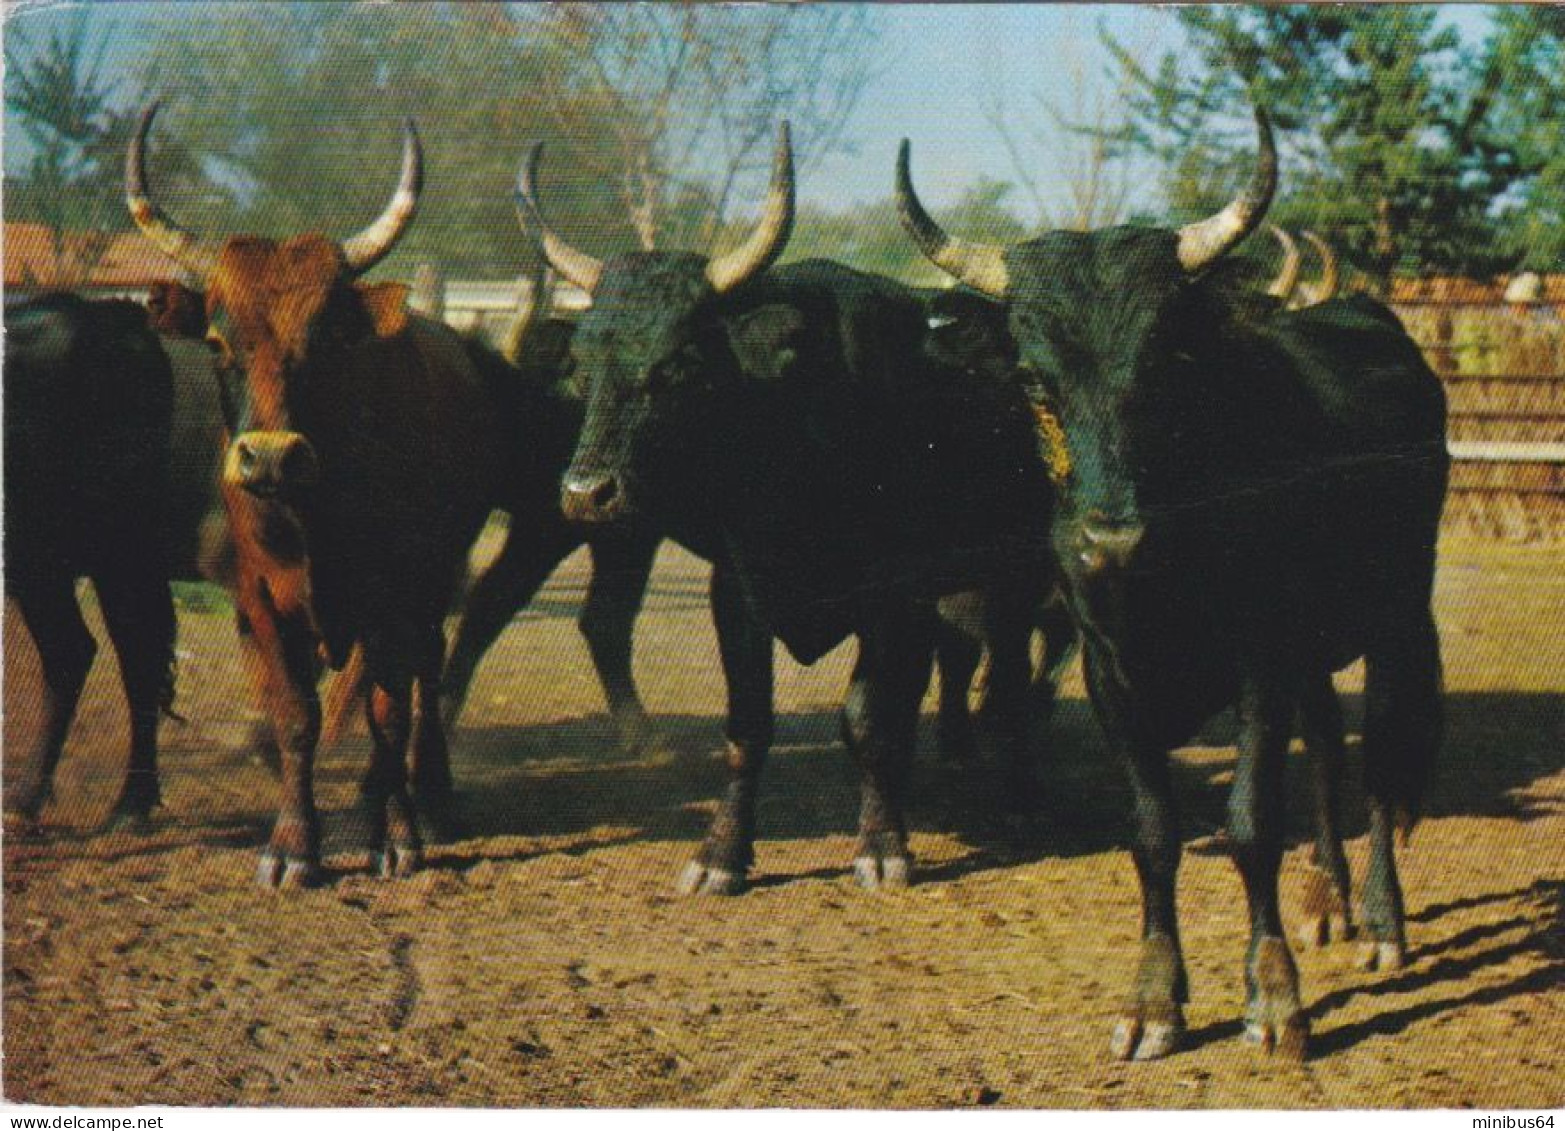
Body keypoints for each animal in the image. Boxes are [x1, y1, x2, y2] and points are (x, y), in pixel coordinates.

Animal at [132, 104, 507, 882]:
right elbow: (296, 716)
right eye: (217, 341)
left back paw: (429, 794)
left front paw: (396, 834)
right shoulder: (259, 600)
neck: (317, 514)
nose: (272, 456)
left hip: (438, 579)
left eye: (329, 338)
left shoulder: (396, 596)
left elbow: (389, 712)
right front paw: (292, 843)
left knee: (426, 678)